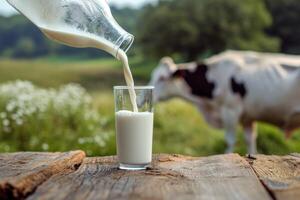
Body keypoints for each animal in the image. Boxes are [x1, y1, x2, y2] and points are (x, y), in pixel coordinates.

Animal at [150, 50, 300, 154]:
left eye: (162, 78)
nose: (142, 99)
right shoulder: (248, 117)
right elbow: (250, 140)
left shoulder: (230, 111)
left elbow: (230, 141)